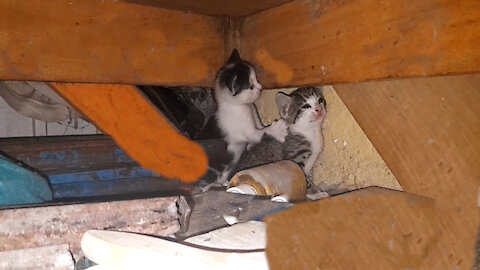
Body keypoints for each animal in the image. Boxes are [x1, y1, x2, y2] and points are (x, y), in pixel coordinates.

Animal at [215, 49, 288, 185]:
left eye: (256, 79)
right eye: (251, 87)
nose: (261, 88)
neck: (242, 106)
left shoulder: (253, 112)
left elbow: (260, 126)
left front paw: (250, 145)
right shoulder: (245, 130)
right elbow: (261, 133)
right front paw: (277, 130)